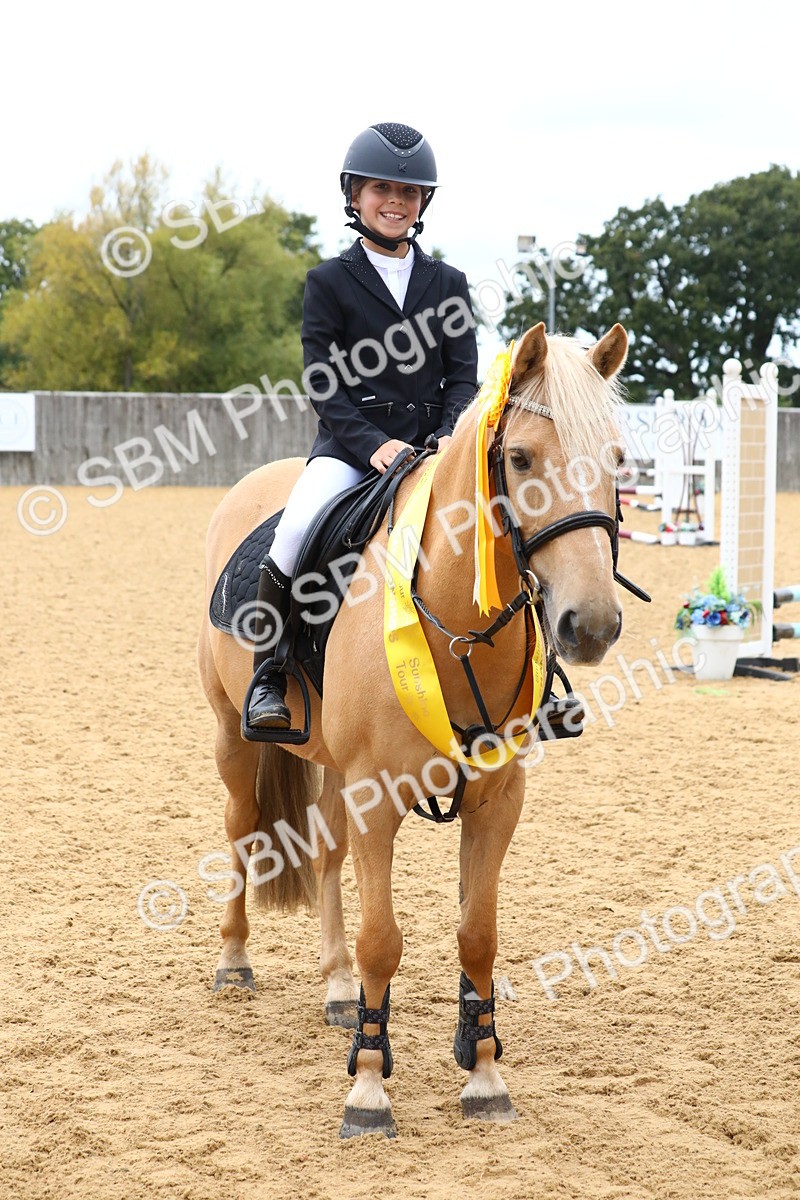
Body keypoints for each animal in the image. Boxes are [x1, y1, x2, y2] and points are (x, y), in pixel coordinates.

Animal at [197, 321, 631, 1138]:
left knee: (326, 852)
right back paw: (234, 962)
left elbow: (477, 934)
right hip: (234, 736)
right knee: (242, 827)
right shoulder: (377, 797)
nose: (590, 625)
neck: (457, 622)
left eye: (618, 460)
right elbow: (383, 941)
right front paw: (368, 1089)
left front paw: (484, 1073)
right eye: (520, 458)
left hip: (334, 766)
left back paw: (337, 989)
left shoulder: (497, 798)